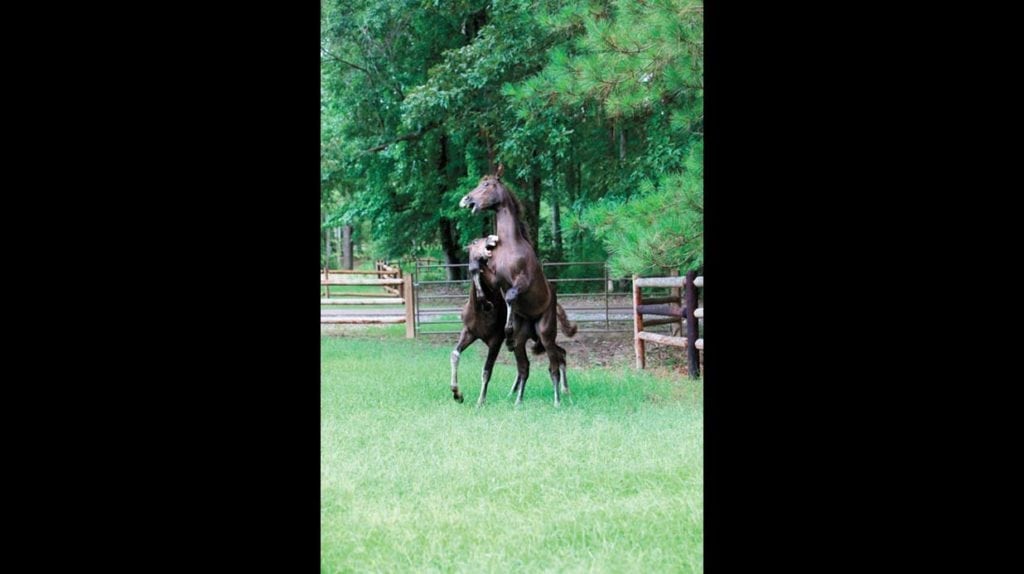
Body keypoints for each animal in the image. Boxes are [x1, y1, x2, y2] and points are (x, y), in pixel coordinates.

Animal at [458, 165, 577, 405]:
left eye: (487, 185)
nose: (466, 199)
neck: (510, 245)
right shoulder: (495, 279)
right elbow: (477, 271)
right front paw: (484, 300)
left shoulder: (523, 282)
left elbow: (511, 296)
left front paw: (507, 326)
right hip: (526, 341)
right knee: (524, 367)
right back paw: (518, 401)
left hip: (545, 334)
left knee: (554, 365)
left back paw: (557, 400)